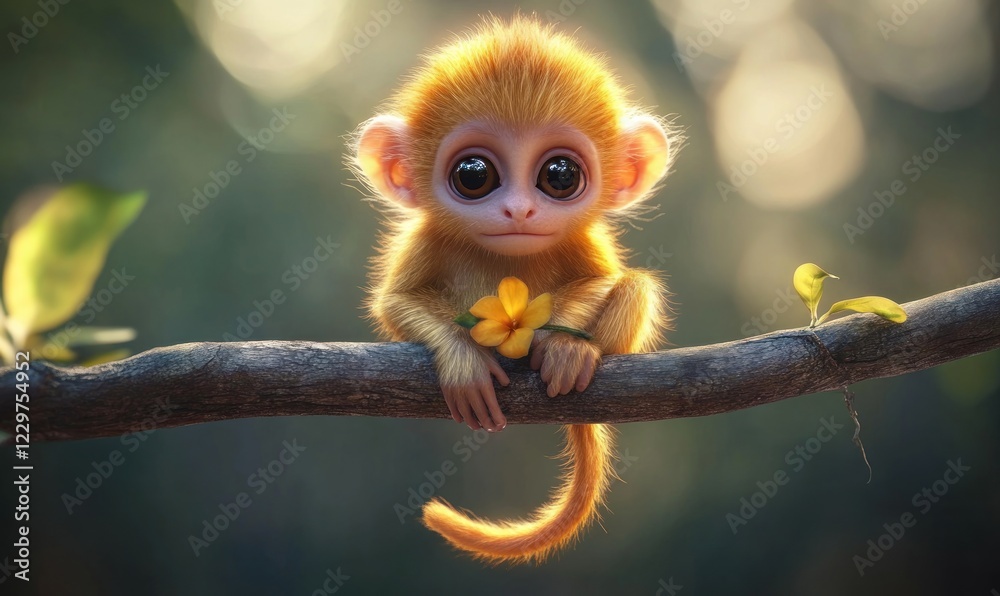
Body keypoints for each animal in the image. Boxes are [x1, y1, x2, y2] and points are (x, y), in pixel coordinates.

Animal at [349, 15, 679, 565]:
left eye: (560, 175)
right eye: (474, 175)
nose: (519, 210)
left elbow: (603, 280)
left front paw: (556, 343)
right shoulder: (425, 238)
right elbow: (396, 301)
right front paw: (462, 360)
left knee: (636, 287)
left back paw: (578, 353)